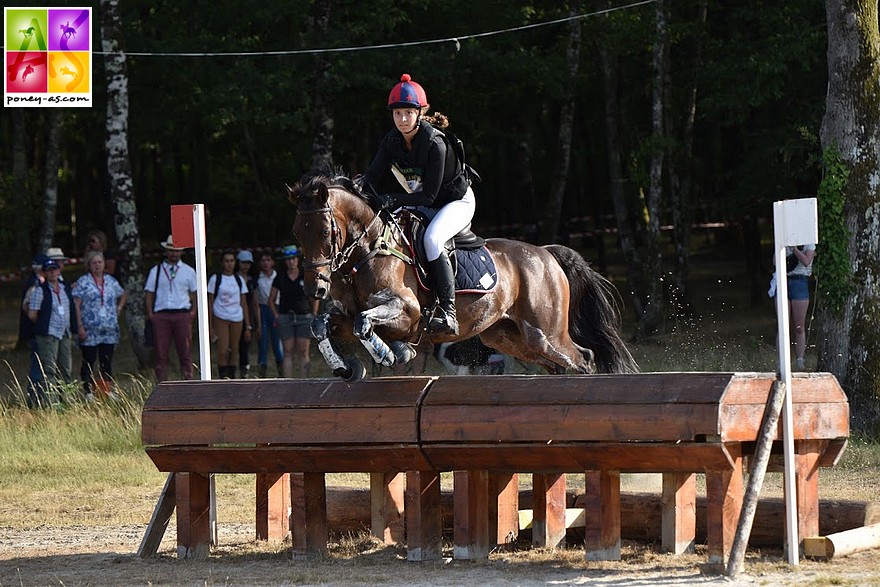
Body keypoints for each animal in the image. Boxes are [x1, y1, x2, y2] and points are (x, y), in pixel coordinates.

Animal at [290, 170, 640, 382]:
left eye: (324, 232)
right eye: (297, 234)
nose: (314, 289)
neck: (368, 252)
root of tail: (546, 254)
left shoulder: (407, 312)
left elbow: (364, 324)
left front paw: (392, 352)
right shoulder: (344, 315)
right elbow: (321, 325)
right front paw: (345, 368)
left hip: (545, 333)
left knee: (583, 358)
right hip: (508, 337)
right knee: (558, 363)